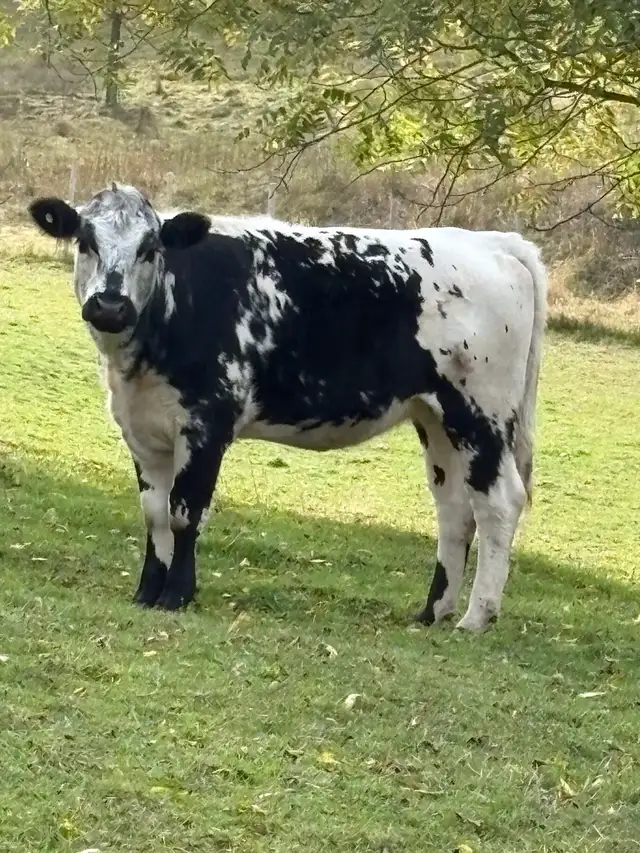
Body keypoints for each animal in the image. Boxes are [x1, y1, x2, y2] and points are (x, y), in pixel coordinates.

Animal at [28, 183, 547, 632]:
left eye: (150, 248)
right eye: (85, 241)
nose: (110, 306)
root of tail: (494, 243)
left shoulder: (207, 422)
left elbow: (184, 512)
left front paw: (177, 595)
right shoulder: (141, 428)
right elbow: (154, 513)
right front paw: (146, 593)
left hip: (481, 413)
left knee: (499, 503)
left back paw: (476, 617)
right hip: (435, 416)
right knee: (455, 510)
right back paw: (432, 612)